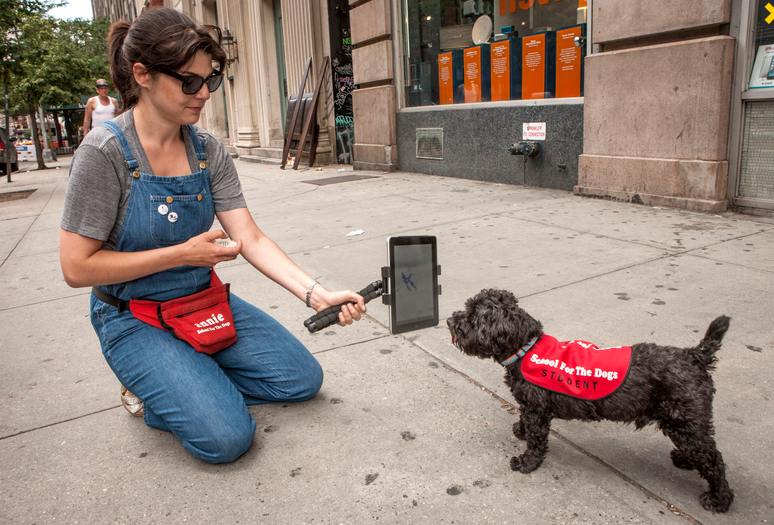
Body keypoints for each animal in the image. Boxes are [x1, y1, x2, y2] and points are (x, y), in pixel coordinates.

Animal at [448, 286, 732, 512]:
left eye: (473, 316)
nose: (450, 320)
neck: (527, 348)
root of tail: (694, 356)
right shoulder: (529, 405)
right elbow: (523, 418)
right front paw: (520, 429)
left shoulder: (537, 410)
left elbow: (537, 441)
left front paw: (526, 462)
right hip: (685, 423)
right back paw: (686, 460)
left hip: (683, 421)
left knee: (713, 459)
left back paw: (719, 499)